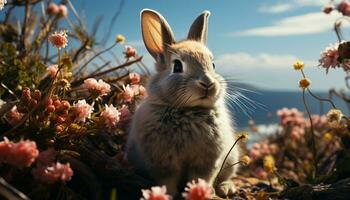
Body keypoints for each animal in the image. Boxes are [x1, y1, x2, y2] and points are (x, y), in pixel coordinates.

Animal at [126, 9, 241, 197]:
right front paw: (169, 194)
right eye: (177, 66)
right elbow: (168, 180)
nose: (207, 83)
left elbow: (201, 177)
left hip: (231, 157)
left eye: (213, 65)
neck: (188, 110)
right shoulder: (163, 162)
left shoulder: (207, 162)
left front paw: (201, 191)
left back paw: (226, 188)